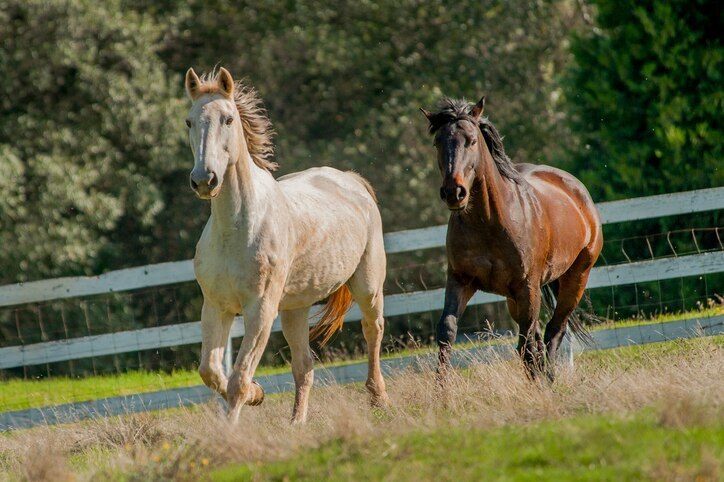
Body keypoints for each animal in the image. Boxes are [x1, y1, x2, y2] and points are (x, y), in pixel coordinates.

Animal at [184, 67, 388, 423]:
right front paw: (258, 395)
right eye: (189, 121)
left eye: (228, 119)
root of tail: (351, 180)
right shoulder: (216, 306)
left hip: (368, 287)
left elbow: (238, 379)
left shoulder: (261, 310)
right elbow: (210, 371)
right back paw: (297, 423)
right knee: (304, 366)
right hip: (296, 308)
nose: (204, 180)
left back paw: (378, 399)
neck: (234, 230)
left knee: (372, 330)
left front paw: (231, 426)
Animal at [420, 97, 603, 381]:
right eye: (438, 142)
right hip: (515, 299)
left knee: (553, 331)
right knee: (537, 338)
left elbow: (527, 344)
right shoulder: (460, 280)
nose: (454, 192)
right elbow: (446, 331)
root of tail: (576, 189)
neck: (489, 223)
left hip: (575, 279)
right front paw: (441, 389)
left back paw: (550, 379)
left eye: (472, 140)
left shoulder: (526, 287)